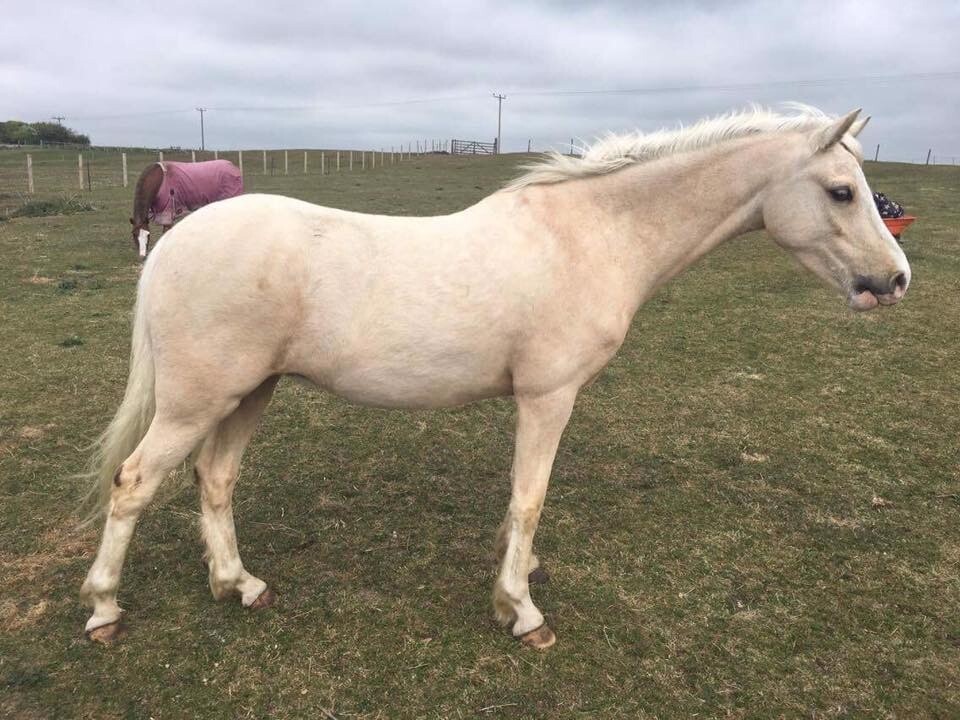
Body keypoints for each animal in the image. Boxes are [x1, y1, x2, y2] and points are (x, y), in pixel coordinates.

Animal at [81, 106, 909, 649]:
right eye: (841, 190)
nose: (895, 280)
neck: (592, 234)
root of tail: (175, 241)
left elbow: (522, 503)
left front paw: (520, 576)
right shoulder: (548, 397)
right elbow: (530, 497)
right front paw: (522, 610)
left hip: (247, 393)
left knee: (214, 480)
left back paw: (238, 585)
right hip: (198, 400)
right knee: (134, 484)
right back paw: (104, 609)